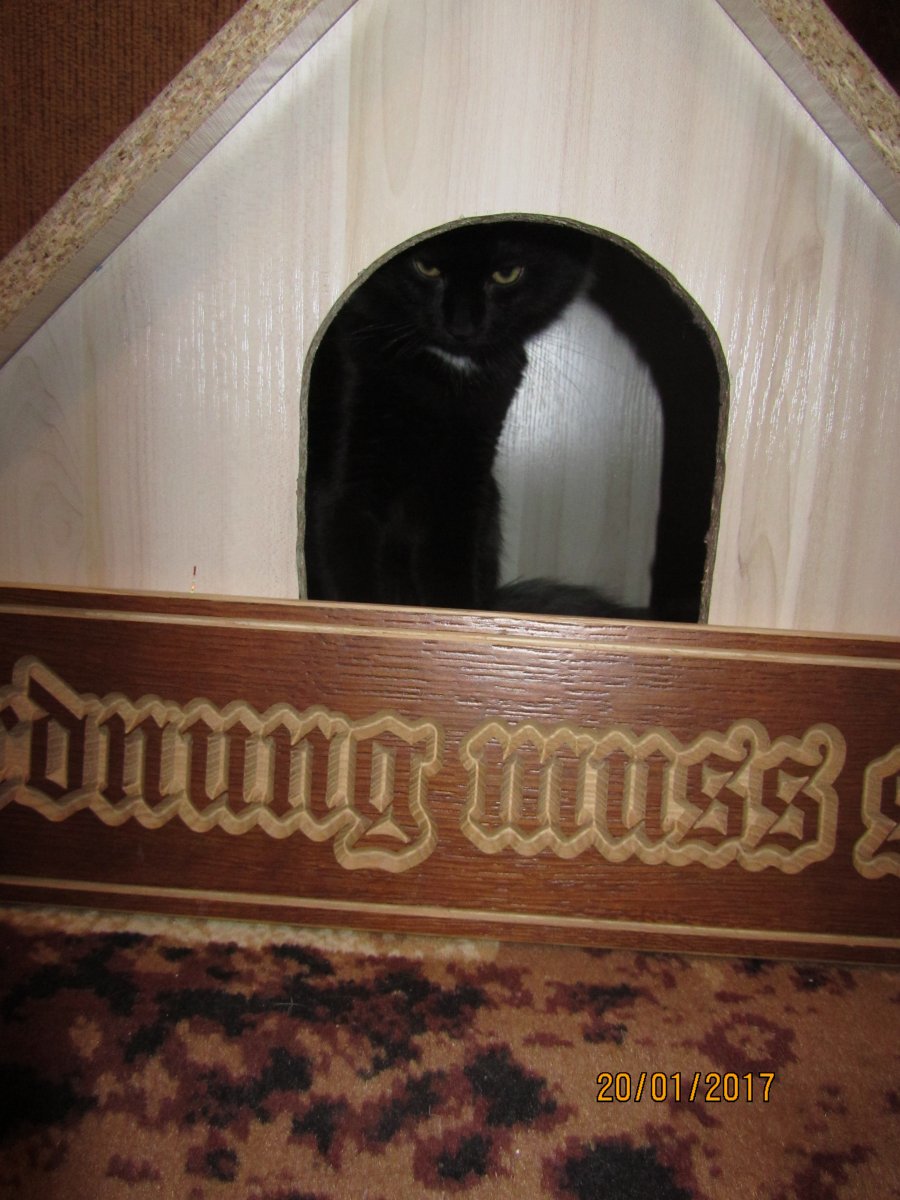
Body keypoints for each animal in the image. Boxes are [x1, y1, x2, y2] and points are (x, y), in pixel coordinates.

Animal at [304, 219, 630, 613]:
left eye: (507, 274)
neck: (446, 370)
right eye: (426, 267)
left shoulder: (464, 481)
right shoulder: (344, 484)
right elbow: (348, 586)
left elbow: (454, 577)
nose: (462, 327)